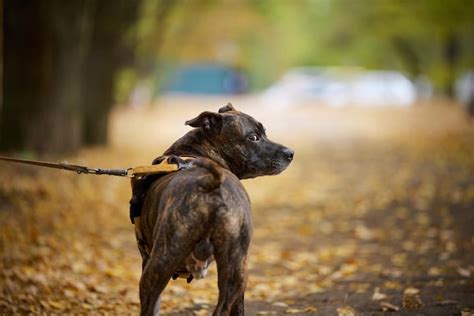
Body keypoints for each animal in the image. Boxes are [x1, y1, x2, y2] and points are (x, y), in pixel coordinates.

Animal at [133, 102, 294, 314]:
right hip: (237, 272)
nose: (291, 153)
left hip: (159, 262)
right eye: (253, 137)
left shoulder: (146, 259)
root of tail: (211, 183)